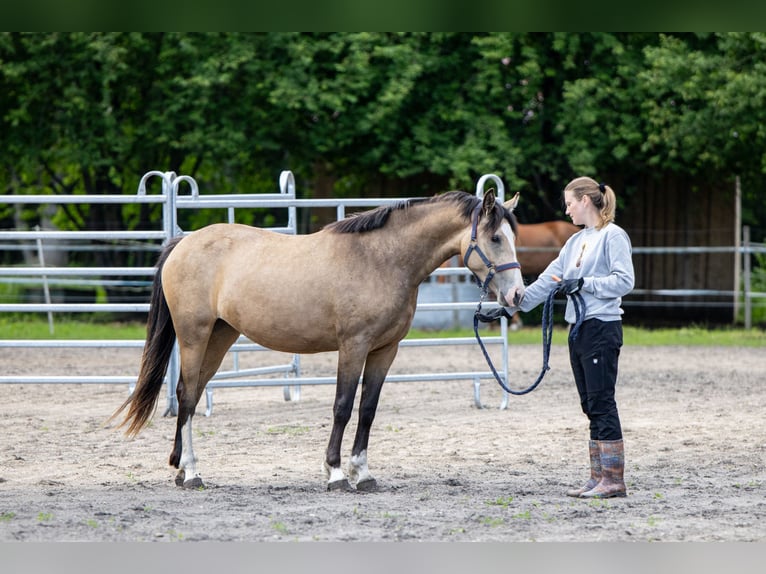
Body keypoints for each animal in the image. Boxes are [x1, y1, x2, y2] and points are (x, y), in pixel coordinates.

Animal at [109, 188, 528, 490]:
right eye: (494, 237)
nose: (517, 296)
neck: (381, 259)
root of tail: (184, 242)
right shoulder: (354, 345)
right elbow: (343, 406)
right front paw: (337, 474)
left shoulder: (384, 350)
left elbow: (368, 409)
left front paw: (363, 473)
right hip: (194, 336)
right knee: (185, 397)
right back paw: (193, 472)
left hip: (220, 337)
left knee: (192, 395)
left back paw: (181, 469)